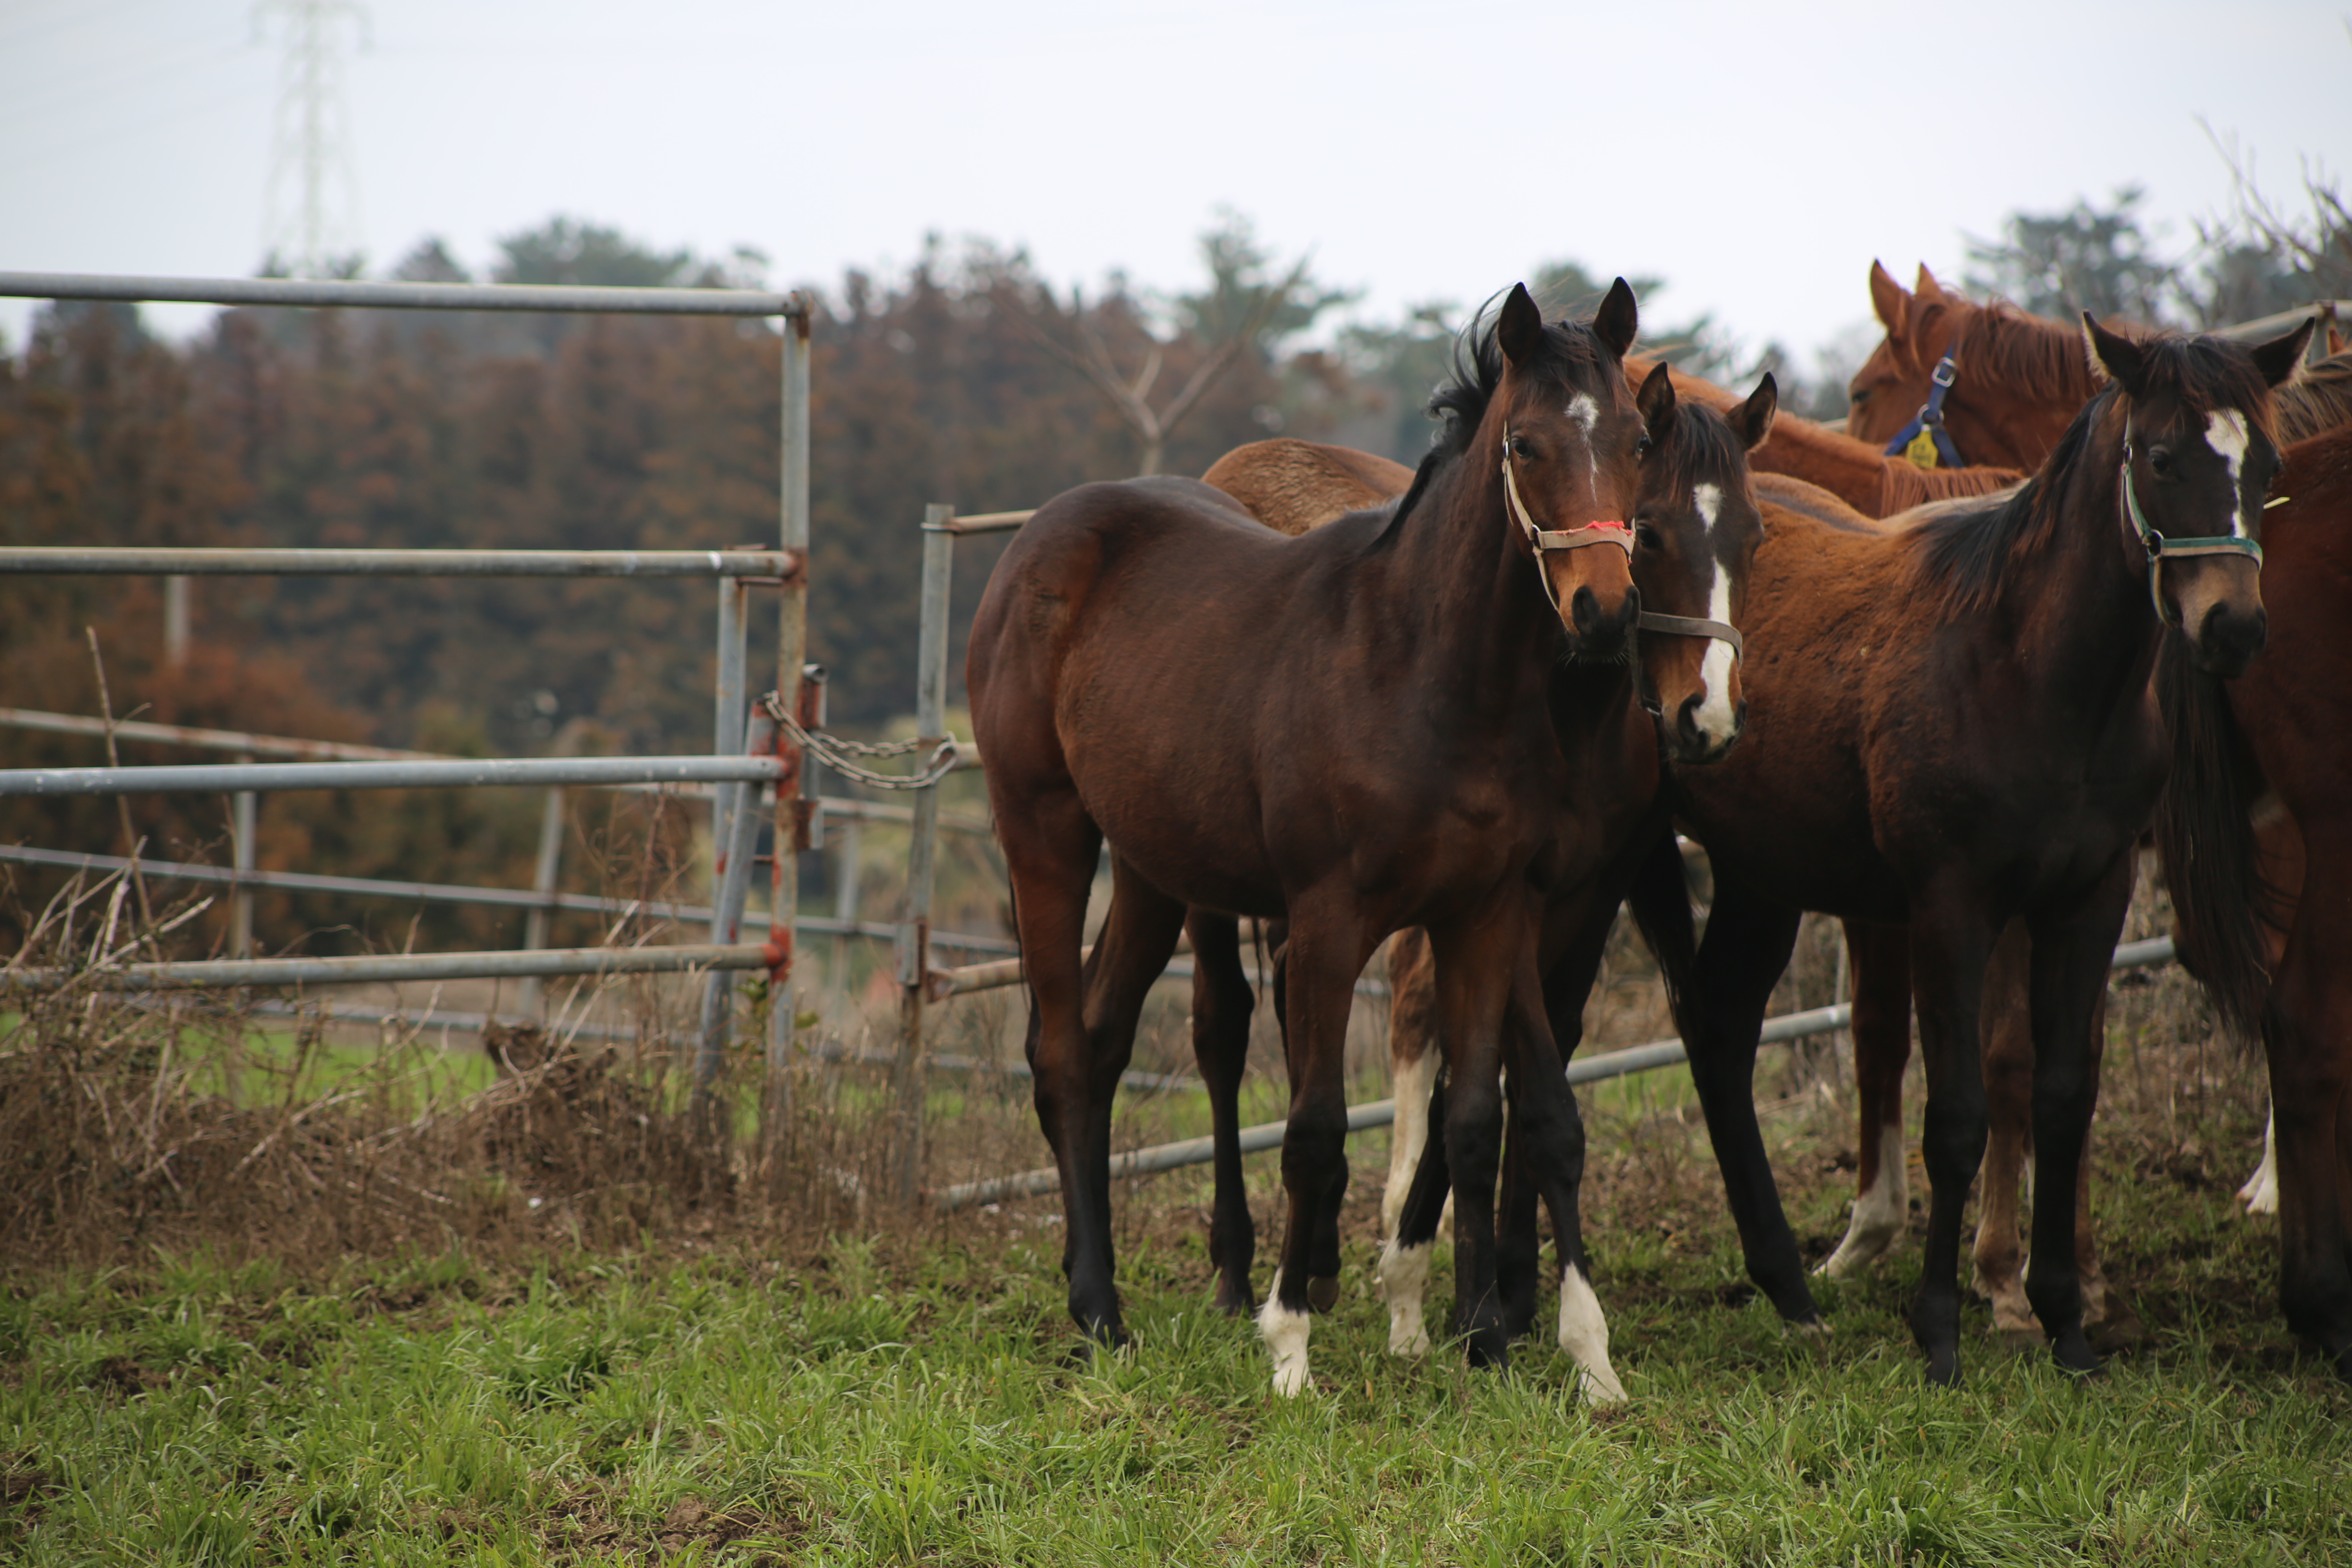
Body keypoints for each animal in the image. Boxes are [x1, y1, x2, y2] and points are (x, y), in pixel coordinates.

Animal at [973, 278, 1693, 1382]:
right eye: (1525, 444)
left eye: (1633, 438)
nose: (1603, 611)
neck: (1423, 672)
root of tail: (1039, 534)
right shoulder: (1324, 923)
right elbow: (1313, 1127)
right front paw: (1290, 1347)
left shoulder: (1484, 914)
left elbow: (1473, 1112)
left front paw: (1485, 1337)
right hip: (1044, 830)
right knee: (1060, 1052)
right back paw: (1101, 1311)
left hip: (1150, 866)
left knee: (1096, 1042)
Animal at [1618, 322, 2314, 1382]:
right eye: (2158, 457)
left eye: (2264, 464)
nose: (2231, 626)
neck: (2020, 667)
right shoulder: (1952, 907)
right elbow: (1956, 1114)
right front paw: (1943, 1323)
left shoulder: (2088, 899)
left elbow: (2063, 1093)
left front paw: (2066, 1319)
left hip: (1757, 874)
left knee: (1720, 1030)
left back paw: (1783, 1282)